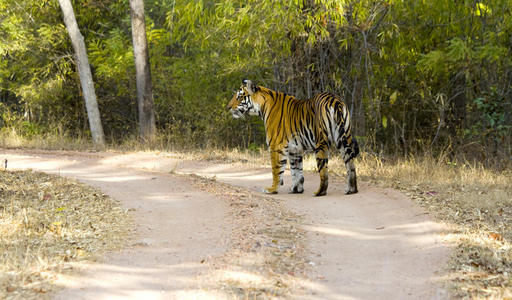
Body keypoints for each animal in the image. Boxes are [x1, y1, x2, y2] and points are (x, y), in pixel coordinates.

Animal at [226, 79, 358, 197]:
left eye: (239, 97)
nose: (228, 107)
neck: (261, 106)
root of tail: (335, 100)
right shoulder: (295, 149)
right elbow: (296, 170)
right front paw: (296, 189)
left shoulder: (276, 146)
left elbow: (276, 170)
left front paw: (272, 189)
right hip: (344, 138)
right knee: (350, 164)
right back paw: (351, 190)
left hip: (321, 143)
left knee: (324, 171)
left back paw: (320, 192)